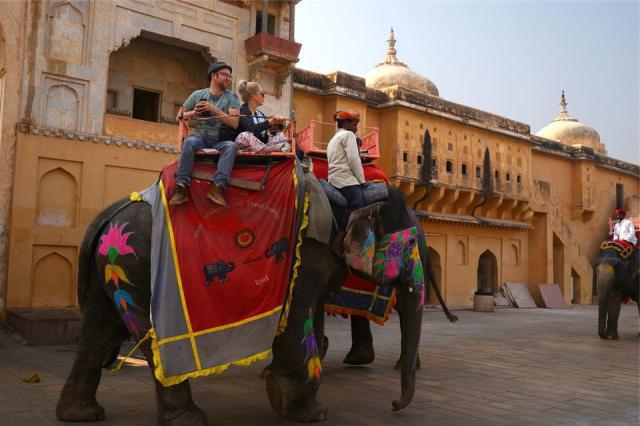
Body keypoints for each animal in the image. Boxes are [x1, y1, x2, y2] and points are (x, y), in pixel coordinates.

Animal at [56, 182, 430, 422]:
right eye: (412, 244)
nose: (394, 405)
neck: (350, 195)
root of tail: (107, 218)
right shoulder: (308, 254)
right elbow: (298, 321)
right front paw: (292, 401)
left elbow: (308, 321)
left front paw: (289, 396)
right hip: (136, 270)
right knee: (148, 342)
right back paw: (189, 419)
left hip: (114, 274)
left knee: (97, 333)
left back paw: (81, 415)